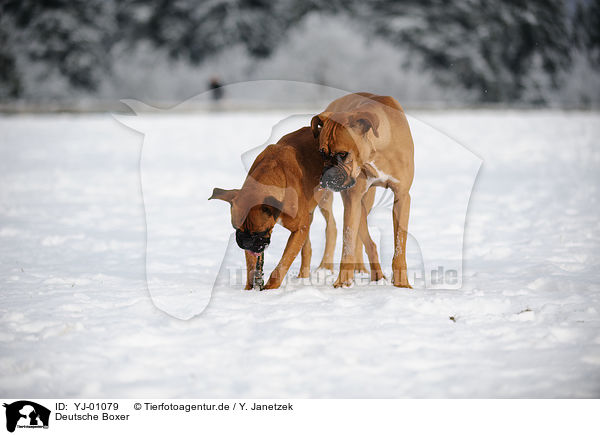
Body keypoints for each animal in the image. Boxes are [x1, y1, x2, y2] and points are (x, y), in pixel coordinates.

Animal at [211, 126, 380, 290]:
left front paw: (270, 287)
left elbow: (284, 262)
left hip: (340, 201)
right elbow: (252, 266)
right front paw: (249, 289)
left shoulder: (298, 229)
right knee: (312, 244)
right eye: (237, 229)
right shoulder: (296, 230)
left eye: (261, 231)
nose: (244, 242)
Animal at [312, 92, 414, 290]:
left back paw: (364, 270)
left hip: (366, 199)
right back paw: (327, 267)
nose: (325, 178)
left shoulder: (402, 197)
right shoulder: (353, 198)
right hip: (327, 197)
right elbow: (348, 242)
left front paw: (401, 284)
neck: (377, 151)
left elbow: (400, 243)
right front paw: (343, 282)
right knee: (334, 227)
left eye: (343, 154)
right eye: (321, 153)